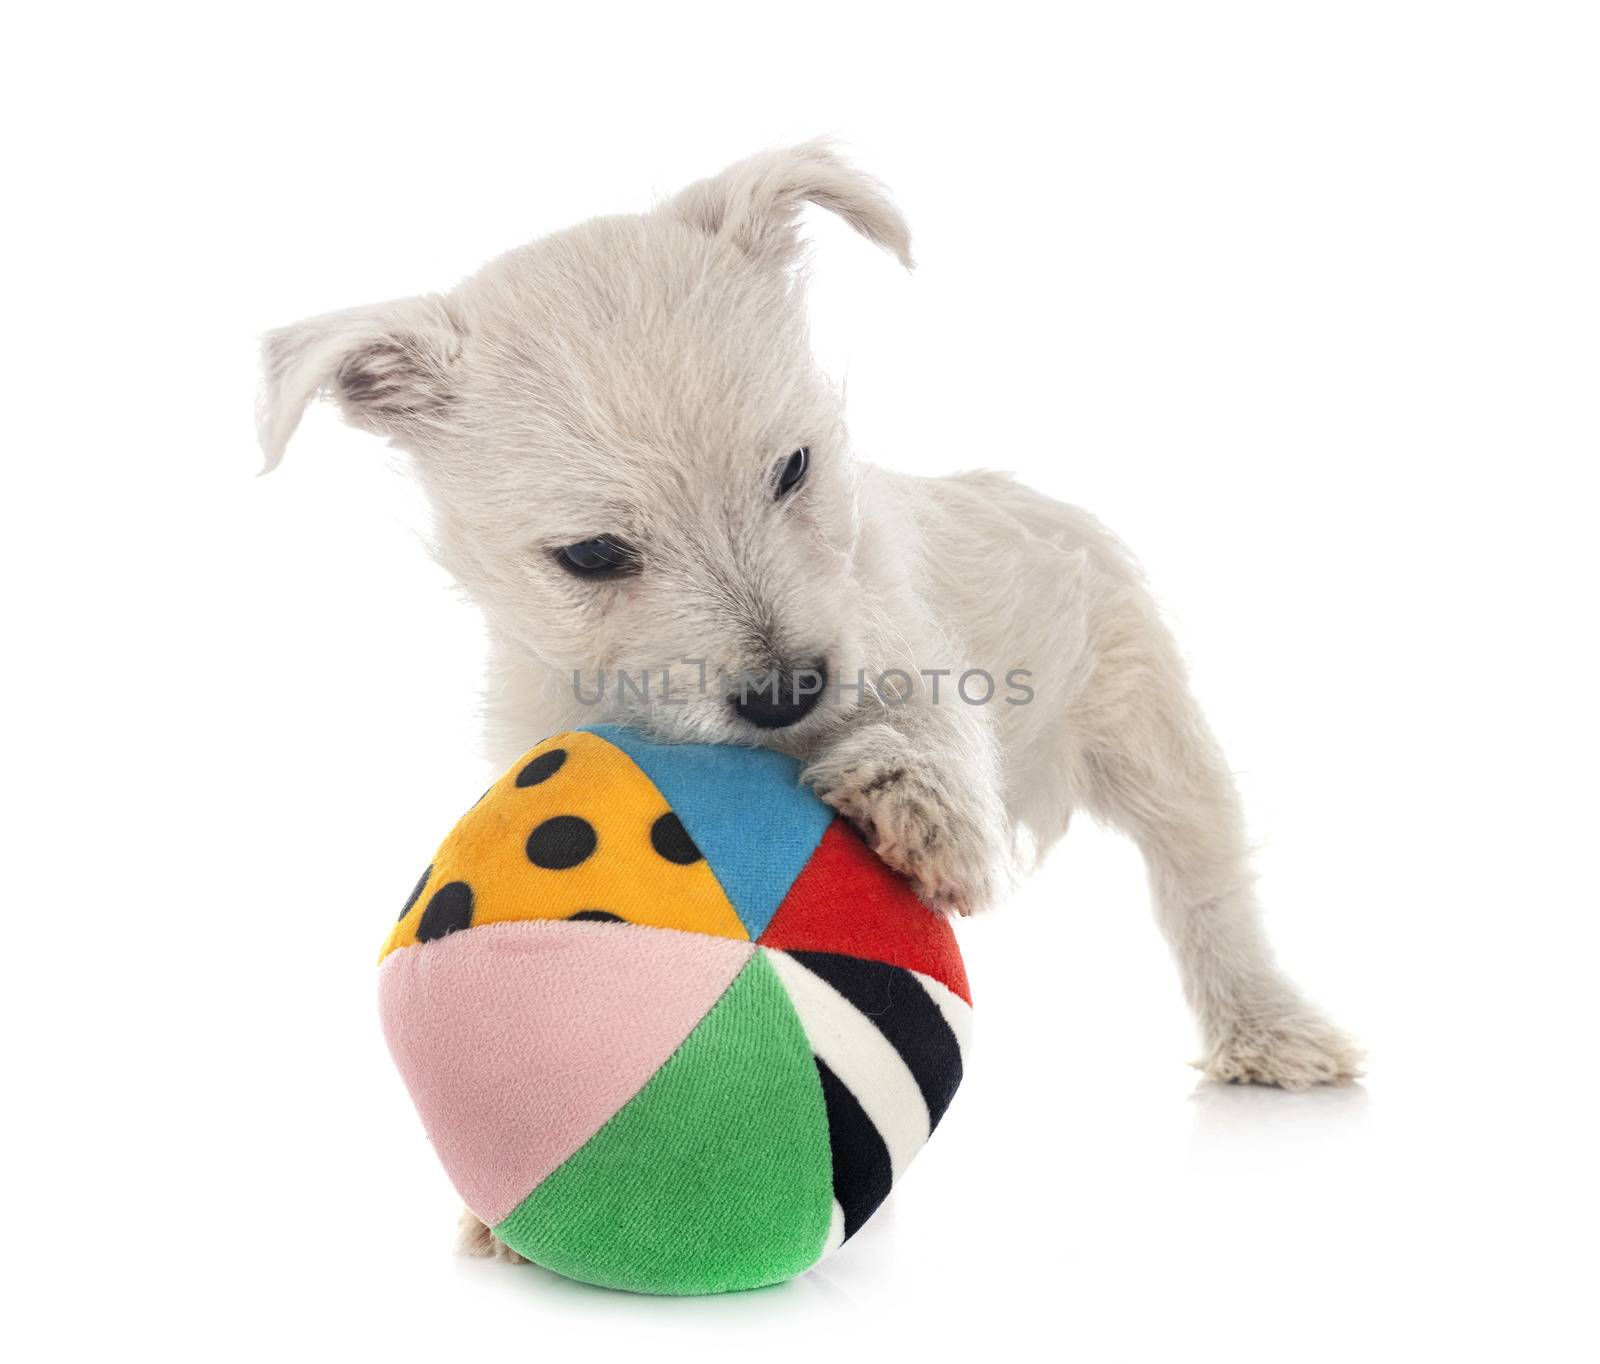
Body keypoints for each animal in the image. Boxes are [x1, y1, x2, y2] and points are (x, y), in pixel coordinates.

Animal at [256, 144, 1356, 1261]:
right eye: (593, 555)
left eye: (791, 467)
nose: (788, 691)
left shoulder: (898, 643)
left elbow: (934, 732)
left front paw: (917, 805)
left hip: (1153, 731)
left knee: (1206, 887)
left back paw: (1268, 1029)